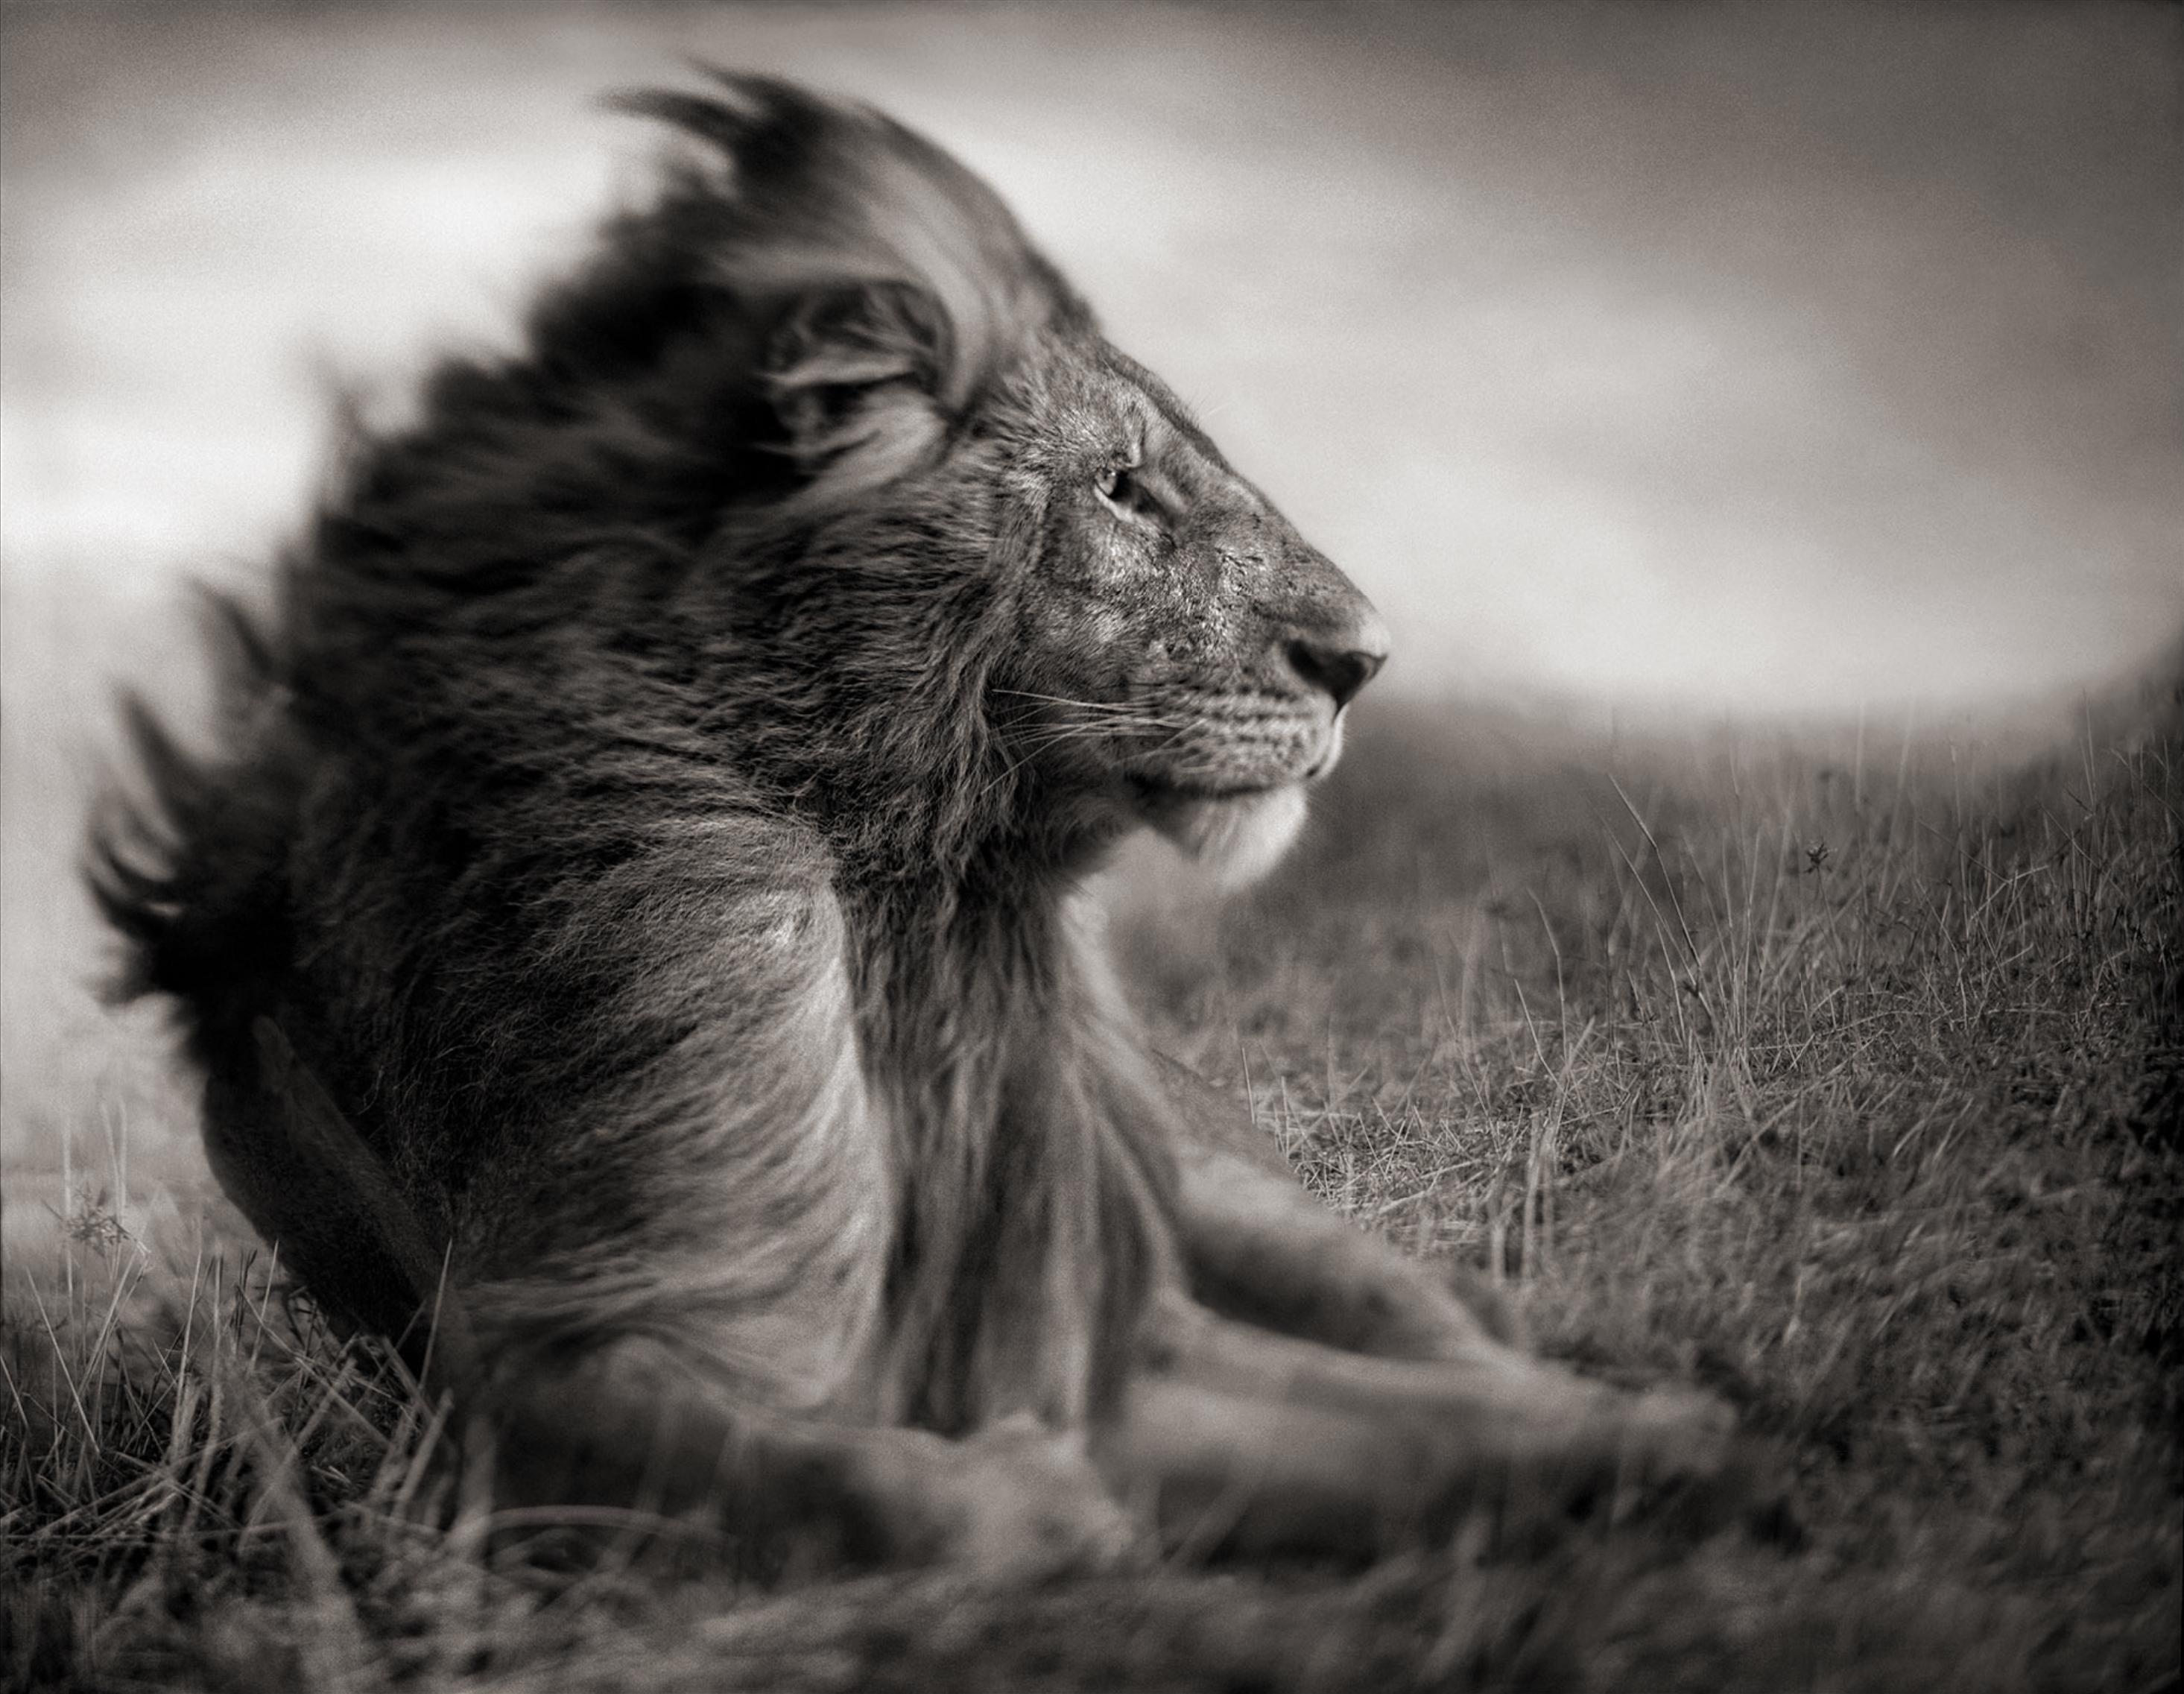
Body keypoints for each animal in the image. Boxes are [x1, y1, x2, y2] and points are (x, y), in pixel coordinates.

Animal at [94, 72, 1738, 1571]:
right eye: (1123, 488)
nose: (1365, 659)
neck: (915, 893)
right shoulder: (541, 1371)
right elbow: (848, 1477)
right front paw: (1036, 1505)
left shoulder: (1104, 1322)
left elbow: (1451, 1423)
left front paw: (1679, 1436)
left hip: (1217, 1185)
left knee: (1430, 1309)